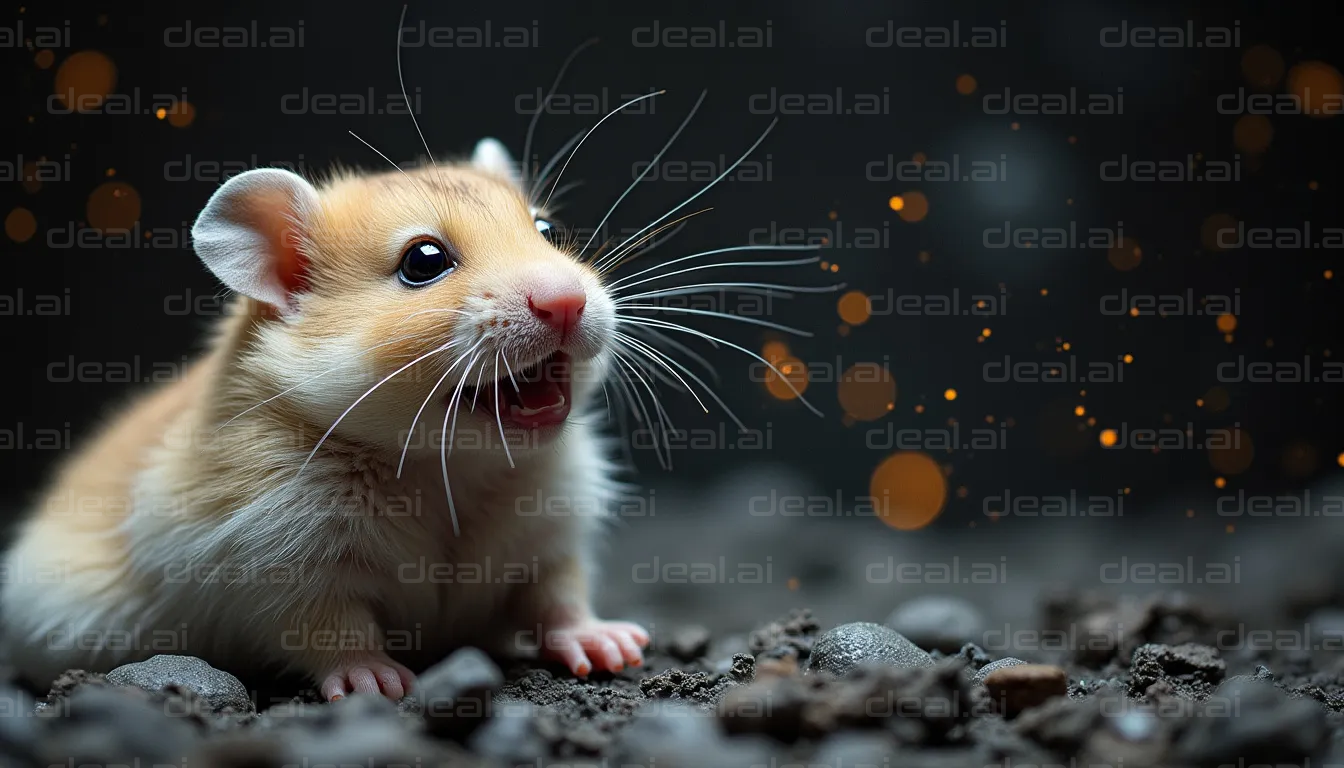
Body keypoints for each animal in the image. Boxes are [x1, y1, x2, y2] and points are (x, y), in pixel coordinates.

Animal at [0, 139, 652, 701]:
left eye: (546, 230)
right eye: (424, 261)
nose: (567, 303)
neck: (446, 463)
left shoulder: (551, 534)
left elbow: (559, 596)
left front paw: (617, 646)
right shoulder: (279, 566)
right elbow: (332, 629)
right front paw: (380, 684)